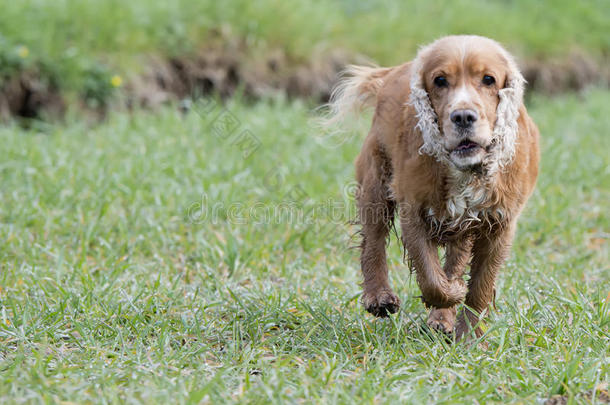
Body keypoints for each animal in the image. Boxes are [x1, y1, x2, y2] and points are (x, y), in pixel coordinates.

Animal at [324, 34, 536, 340]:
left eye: (488, 79)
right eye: (440, 80)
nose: (463, 117)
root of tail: (392, 72)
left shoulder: (499, 224)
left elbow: (480, 286)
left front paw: (469, 337)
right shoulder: (414, 211)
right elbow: (431, 276)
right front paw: (454, 293)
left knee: (455, 259)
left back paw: (441, 320)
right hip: (376, 182)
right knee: (373, 241)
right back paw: (379, 297)